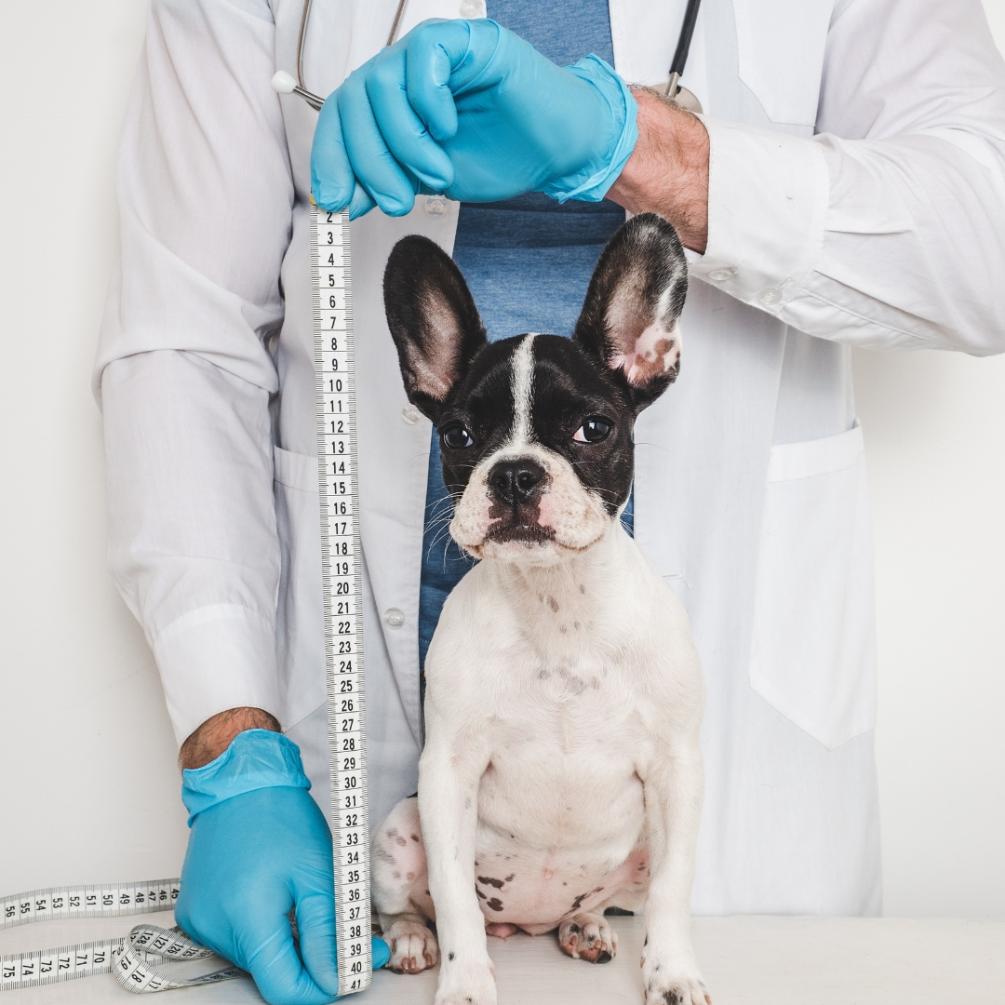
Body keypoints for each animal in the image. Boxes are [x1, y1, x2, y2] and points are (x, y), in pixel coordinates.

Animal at [369, 214, 707, 1005]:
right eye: (458, 435)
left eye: (594, 429)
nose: (516, 472)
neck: (558, 605)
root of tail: (524, 924)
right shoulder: (448, 772)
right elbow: (454, 896)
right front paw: (465, 983)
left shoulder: (675, 770)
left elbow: (674, 891)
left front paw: (673, 972)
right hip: (398, 828)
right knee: (414, 902)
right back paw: (411, 941)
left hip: (630, 857)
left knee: (604, 899)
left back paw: (584, 926)